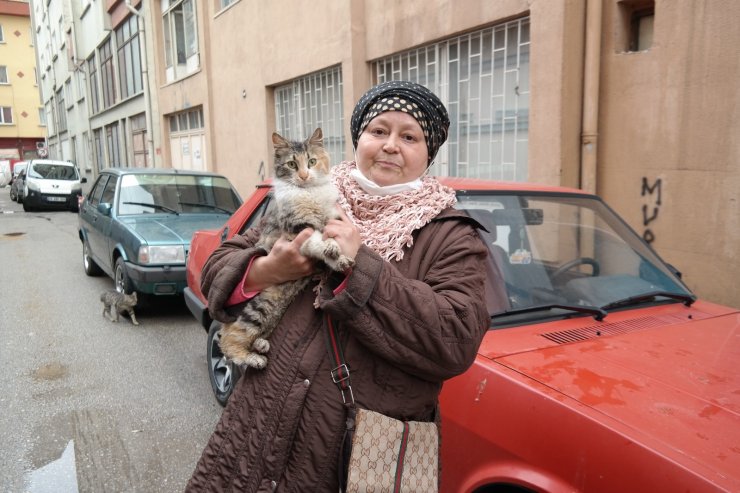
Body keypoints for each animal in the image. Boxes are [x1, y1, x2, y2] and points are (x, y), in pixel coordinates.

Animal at [217, 128, 352, 368]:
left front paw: (340, 257)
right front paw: (330, 248)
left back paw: (260, 345)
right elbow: (317, 240)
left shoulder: (330, 219)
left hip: (271, 311)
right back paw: (254, 359)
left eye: (312, 161)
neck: (309, 194)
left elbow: (330, 243)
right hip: (255, 310)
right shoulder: (298, 229)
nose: (304, 176)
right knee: (229, 341)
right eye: (291, 164)